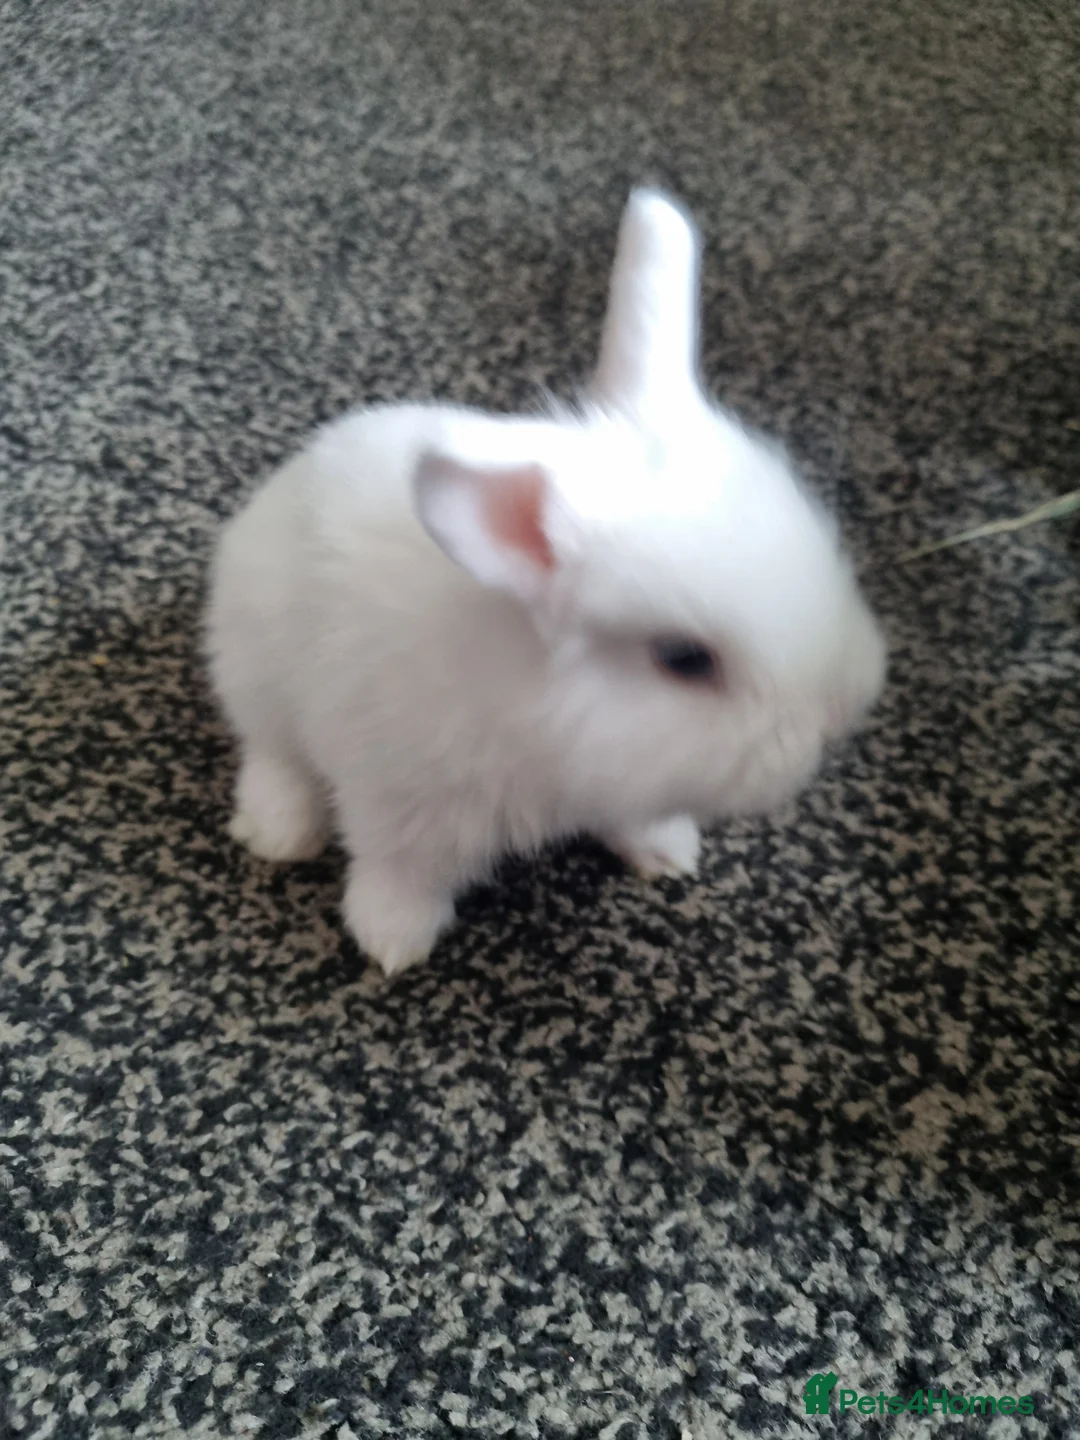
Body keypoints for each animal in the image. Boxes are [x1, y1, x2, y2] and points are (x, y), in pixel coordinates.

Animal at [204, 188, 886, 976]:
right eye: (684, 660)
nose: (841, 713)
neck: (540, 719)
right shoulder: (397, 798)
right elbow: (396, 868)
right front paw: (393, 940)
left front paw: (667, 851)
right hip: (255, 667)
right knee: (270, 751)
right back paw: (279, 832)